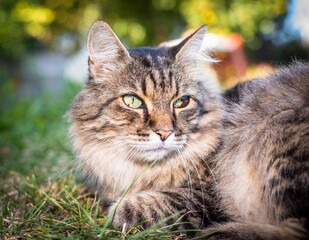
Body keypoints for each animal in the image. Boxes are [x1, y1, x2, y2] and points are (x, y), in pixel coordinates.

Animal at [68, 19, 308, 239]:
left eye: (181, 102)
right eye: (132, 101)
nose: (165, 133)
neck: (139, 171)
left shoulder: (205, 196)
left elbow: (140, 206)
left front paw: (114, 209)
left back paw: (217, 233)